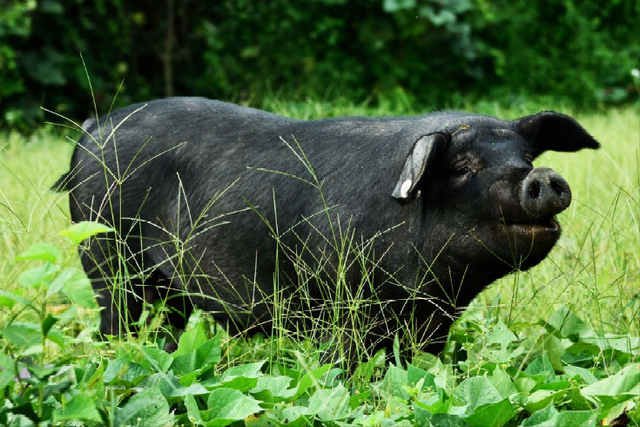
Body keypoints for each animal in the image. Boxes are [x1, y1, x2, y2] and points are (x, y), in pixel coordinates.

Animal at [56, 98, 600, 360]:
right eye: (464, 166)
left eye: (524, 156)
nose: (543, 177)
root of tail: (92, 129)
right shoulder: (338, 304)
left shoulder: (433, 320)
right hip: (104, 253)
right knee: (115, 318)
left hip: (167, 285)